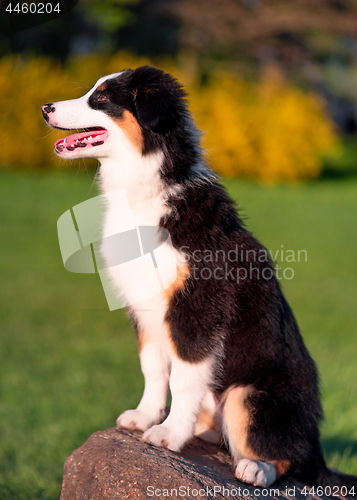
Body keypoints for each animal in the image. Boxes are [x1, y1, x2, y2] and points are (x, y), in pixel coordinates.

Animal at [43, 64, 354, 490]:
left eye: (102, 98)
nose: (45, 108)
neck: (147, 191)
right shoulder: (144, 307)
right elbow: (154, 369)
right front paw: (144, 418)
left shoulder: (197, 307)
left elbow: (183, 378)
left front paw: (168, 435)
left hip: (251, 394)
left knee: (293, 458)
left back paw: (256, 467)